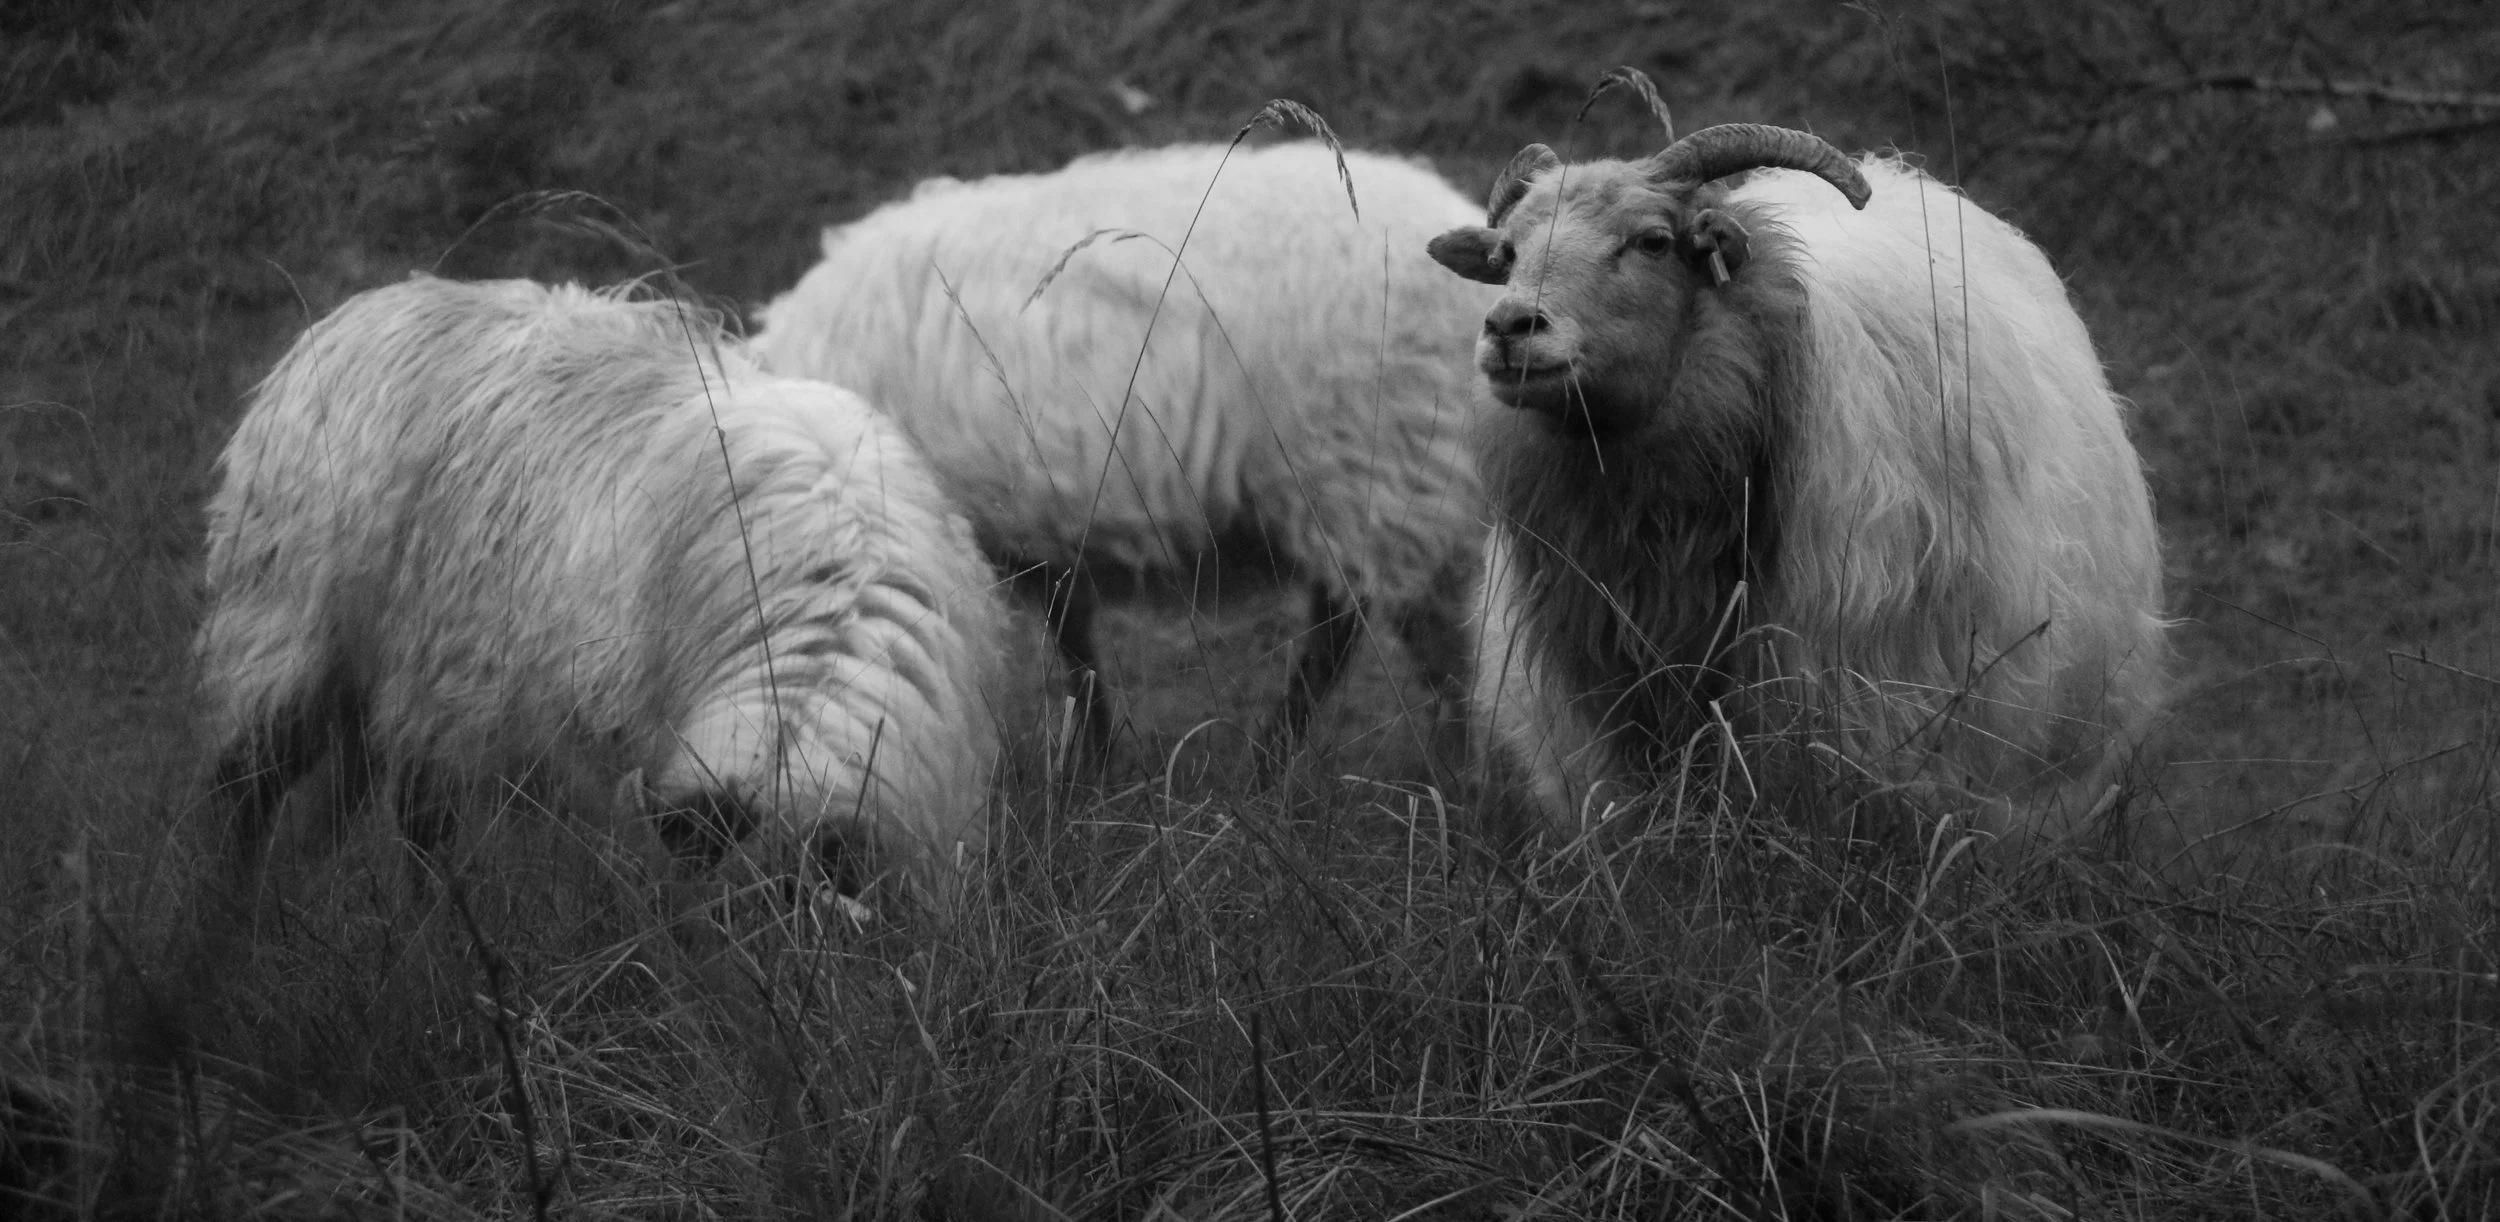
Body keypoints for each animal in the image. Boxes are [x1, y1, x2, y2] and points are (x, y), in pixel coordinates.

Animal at [751, 141, 1500, 769]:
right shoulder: (1038, 532)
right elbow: (1074, 644)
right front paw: (1093, 764)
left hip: (1374, 468)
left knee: (1358, 630)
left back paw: (1289, 764)